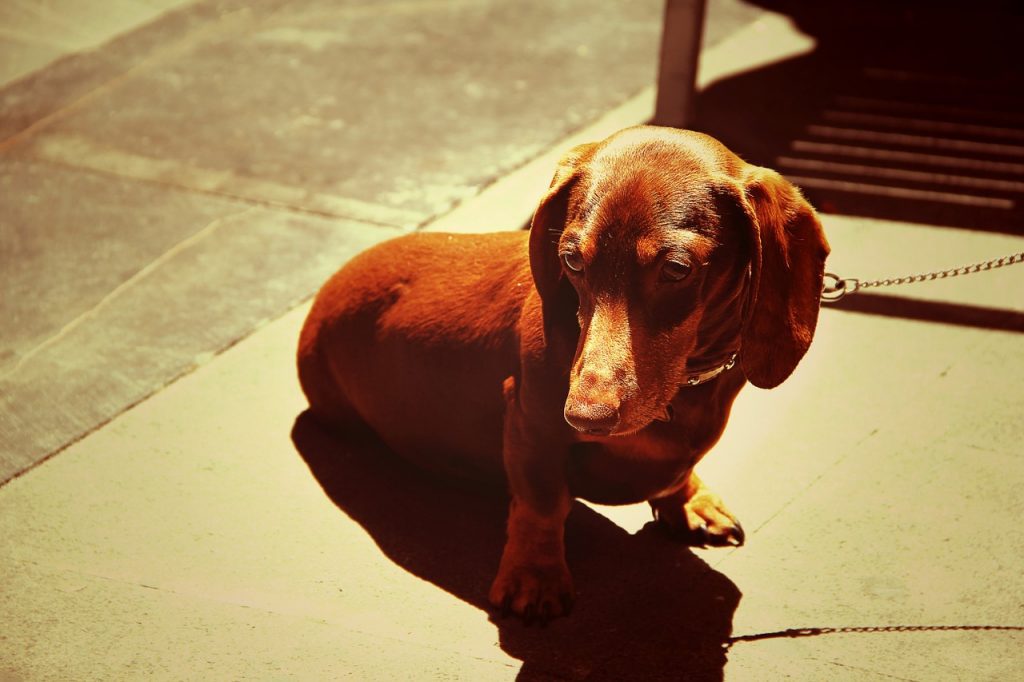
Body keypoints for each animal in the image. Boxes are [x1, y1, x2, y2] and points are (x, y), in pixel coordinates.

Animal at [299, 124, 831, 618]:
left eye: (677, 269)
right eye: (572, 259)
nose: (584, 417)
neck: (686, 385)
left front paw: (688, 498)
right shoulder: (530, 424)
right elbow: (542, 502)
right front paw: (534, 577)